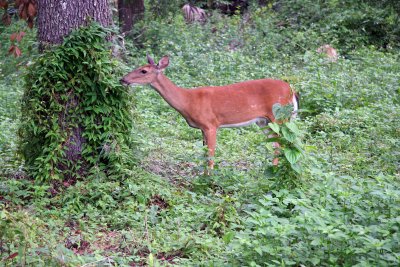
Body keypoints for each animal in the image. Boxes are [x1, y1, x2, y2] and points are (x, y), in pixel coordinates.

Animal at [120, 56, 298, 174]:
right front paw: (203, 176)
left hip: (280, 116)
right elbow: (204, 153)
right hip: (264, 121)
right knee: (278, 143)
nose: (122, 79)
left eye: (143, 70)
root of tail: (291, 90)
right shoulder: (201, 128)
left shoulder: (211, 124)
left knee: (284, 143)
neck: (188, 101)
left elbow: (210, 154)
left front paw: (210, 179)